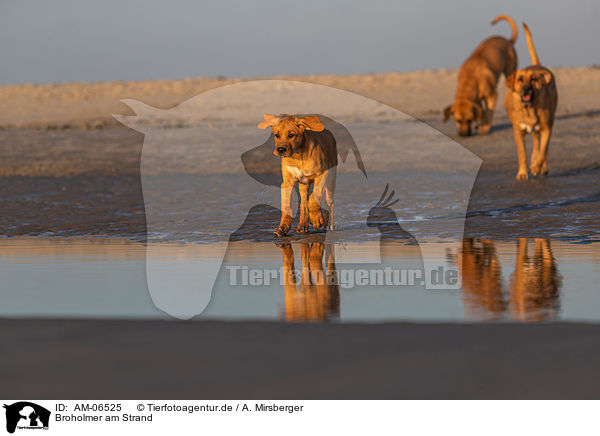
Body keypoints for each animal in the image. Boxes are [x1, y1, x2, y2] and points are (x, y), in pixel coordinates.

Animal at [506, 23, 556, 181]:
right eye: (520, 79)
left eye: (533, 79)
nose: (526, 88)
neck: (529, 109)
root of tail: (538, 65)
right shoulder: (518, 131)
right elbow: (522, 154)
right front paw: (522, 173)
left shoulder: (547, 129)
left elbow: (543, 151)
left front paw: (536, 167)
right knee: (535, 142)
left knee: (540, 147)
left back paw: (540, 166)